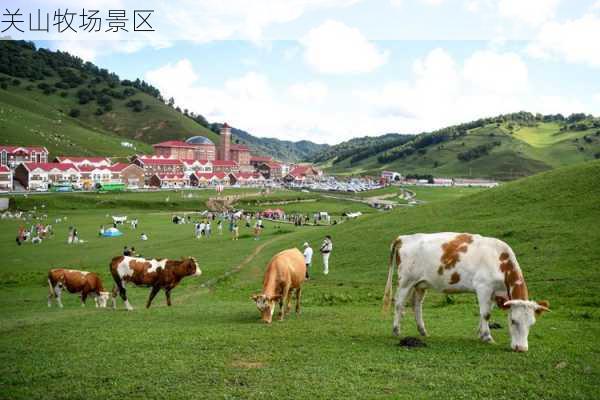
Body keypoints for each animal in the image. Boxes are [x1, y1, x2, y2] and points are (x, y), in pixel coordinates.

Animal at [384, 233, 548, 352]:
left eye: (532, 323)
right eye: (513, 321)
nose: (521, 348)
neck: (499, 260)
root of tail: (404, 238)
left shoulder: (494, 293)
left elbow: (485, 313)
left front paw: (480, 333)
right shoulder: (483, 287)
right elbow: (486, 314)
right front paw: (487, 337)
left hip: (420, 284)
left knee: (417, 304)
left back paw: (423, 331)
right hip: (406, 281)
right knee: (399, 304)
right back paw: (396, 331)